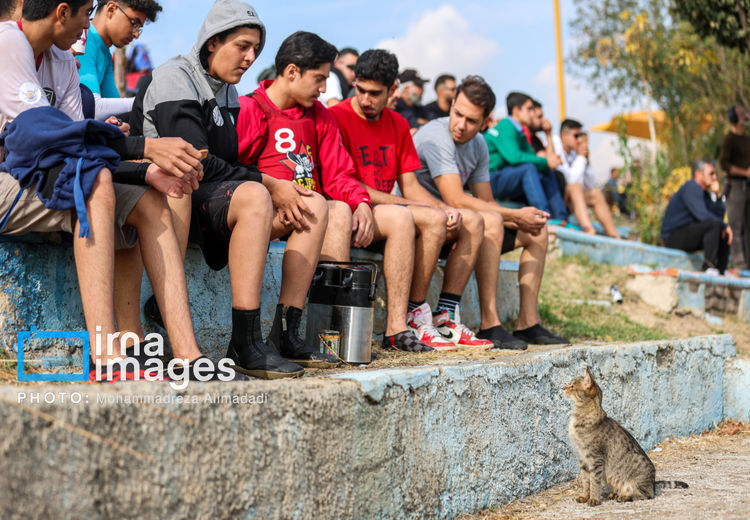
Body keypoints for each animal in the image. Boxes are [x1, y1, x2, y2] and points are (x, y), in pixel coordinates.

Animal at [568, 368, 692, 506]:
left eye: (572, 386)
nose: (564, 388)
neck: (577, 418)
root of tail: (653, 483)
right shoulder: (582, 459)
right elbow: (586, 482)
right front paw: (585, 496)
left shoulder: (596, 459)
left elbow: (594, 482)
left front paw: (594, 499)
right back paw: (615, 494)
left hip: (640, 483)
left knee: (647, 494)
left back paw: (625, 497)